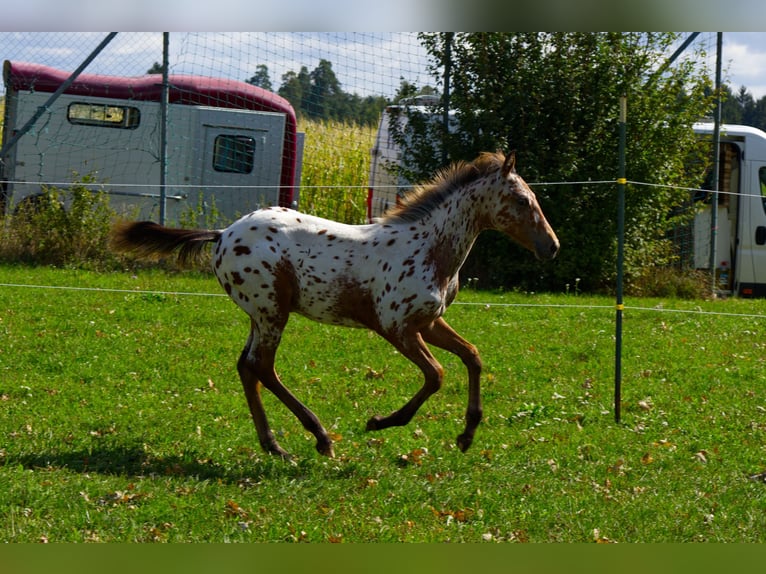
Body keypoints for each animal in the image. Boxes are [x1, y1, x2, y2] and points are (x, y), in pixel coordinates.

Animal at [111, 151, 559, 459]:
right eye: (522, 200)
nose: (551, 247)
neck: (429, 248)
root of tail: (222, 234)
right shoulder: (396, 327)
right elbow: (436, 375)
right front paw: (380, 422)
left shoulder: (428, 323)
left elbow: (472, 356)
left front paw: (466, 435)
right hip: (272, 311)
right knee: (262, 367)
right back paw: (320, 437)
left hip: (260, 315)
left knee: (246, 367)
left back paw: (274, 445)